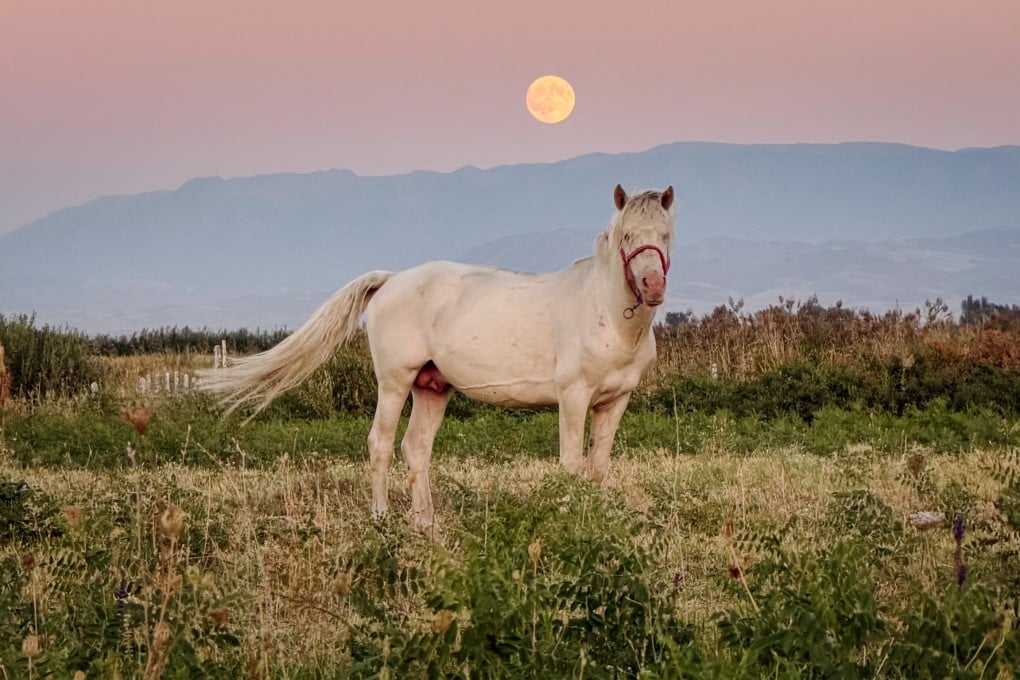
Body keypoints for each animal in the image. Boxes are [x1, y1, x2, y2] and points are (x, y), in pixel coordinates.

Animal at [199, 184, 676, 532]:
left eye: (666, 235)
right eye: (627, 236)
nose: (652, 286)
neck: (607, 314)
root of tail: (391, 279)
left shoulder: (614, 401)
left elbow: (597, 467)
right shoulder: (573, 396)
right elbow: (571, 463)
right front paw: (571, 517)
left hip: (432, 388)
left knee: (416, 448)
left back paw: (424, 523)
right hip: (394, 383)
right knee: (381, 444)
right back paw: (382, 518)